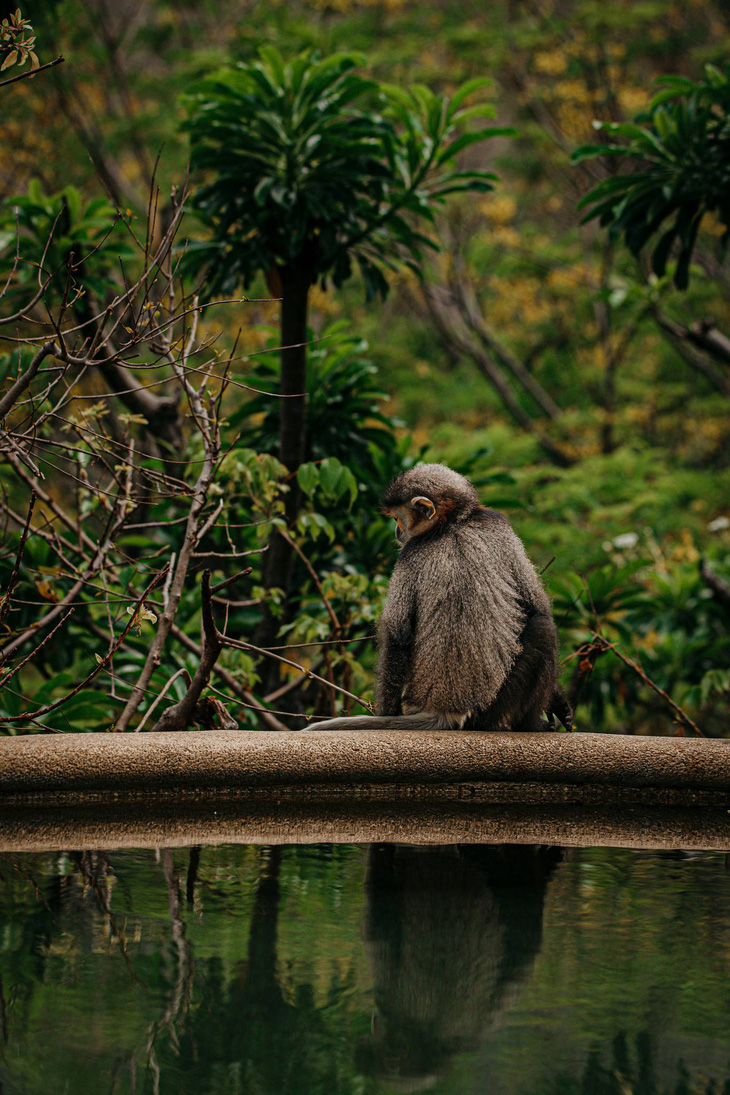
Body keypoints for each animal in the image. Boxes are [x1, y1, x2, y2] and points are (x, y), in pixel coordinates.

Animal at [308, 464, 569, 735]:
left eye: (396, 518)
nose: (397, 531)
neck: (451, 522)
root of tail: (445, 710)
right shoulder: (493, 528)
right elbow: (534, 606)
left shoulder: (416, 550)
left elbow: (397, 633)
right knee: (543, 628)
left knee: (542, 628)